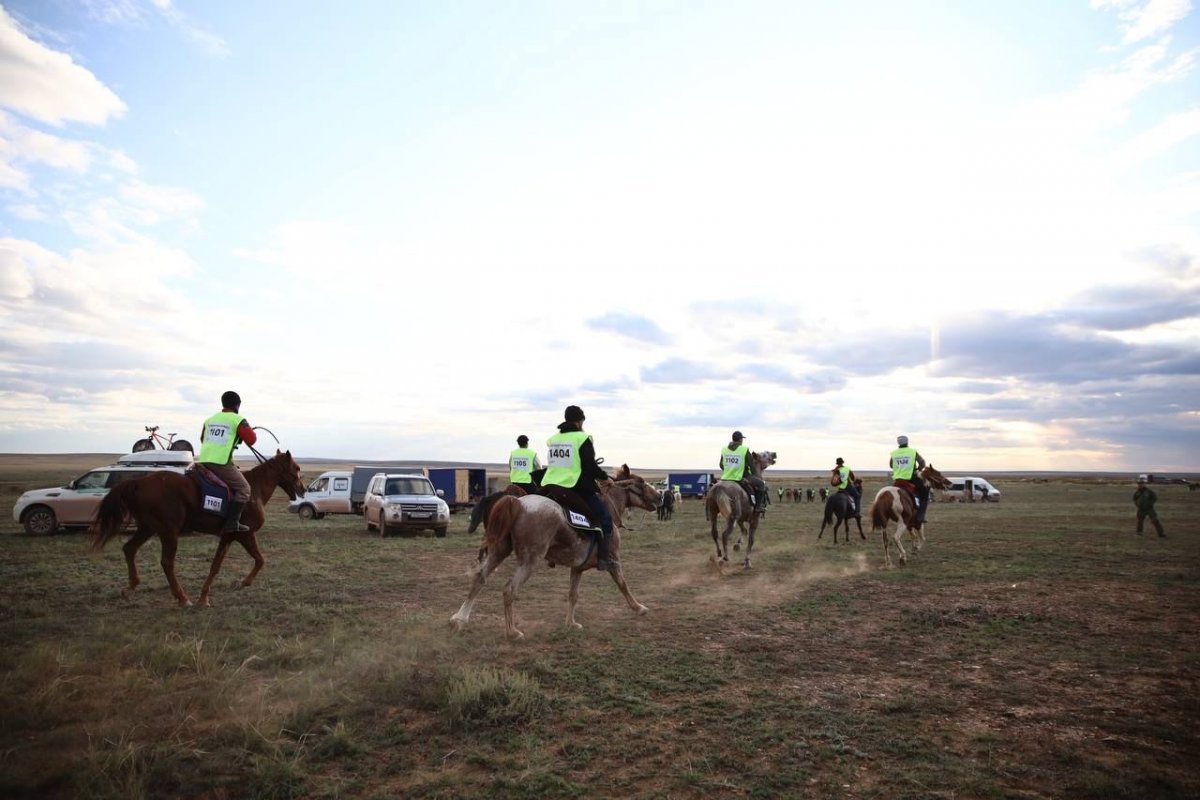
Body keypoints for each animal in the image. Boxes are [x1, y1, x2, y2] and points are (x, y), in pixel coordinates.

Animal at [87, 450, 304, 606]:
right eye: (297, 467)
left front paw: (204, 597)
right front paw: (244, 582)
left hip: (147, 528)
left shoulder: (228, 536)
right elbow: (260, 559)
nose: (302, 489)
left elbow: (216, 565)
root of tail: (138, 482)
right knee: (167, 562)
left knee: (129, 549)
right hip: (168, 532)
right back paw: (182, 598)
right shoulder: (245, 534)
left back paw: (131, 588)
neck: (254, 489)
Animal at [451, 479, 662, 642]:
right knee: (509, 589)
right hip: (530, 561)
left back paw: (460, 618)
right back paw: (512, 632)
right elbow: (623, 585)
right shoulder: (614, 561)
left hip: (499, 551)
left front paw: (571, 623)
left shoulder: (577, 568)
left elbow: (573, 594)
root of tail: (518, 503)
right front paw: (639, 608)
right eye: (642, 484)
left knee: (480, 577)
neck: (609, 510)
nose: (660, 496)